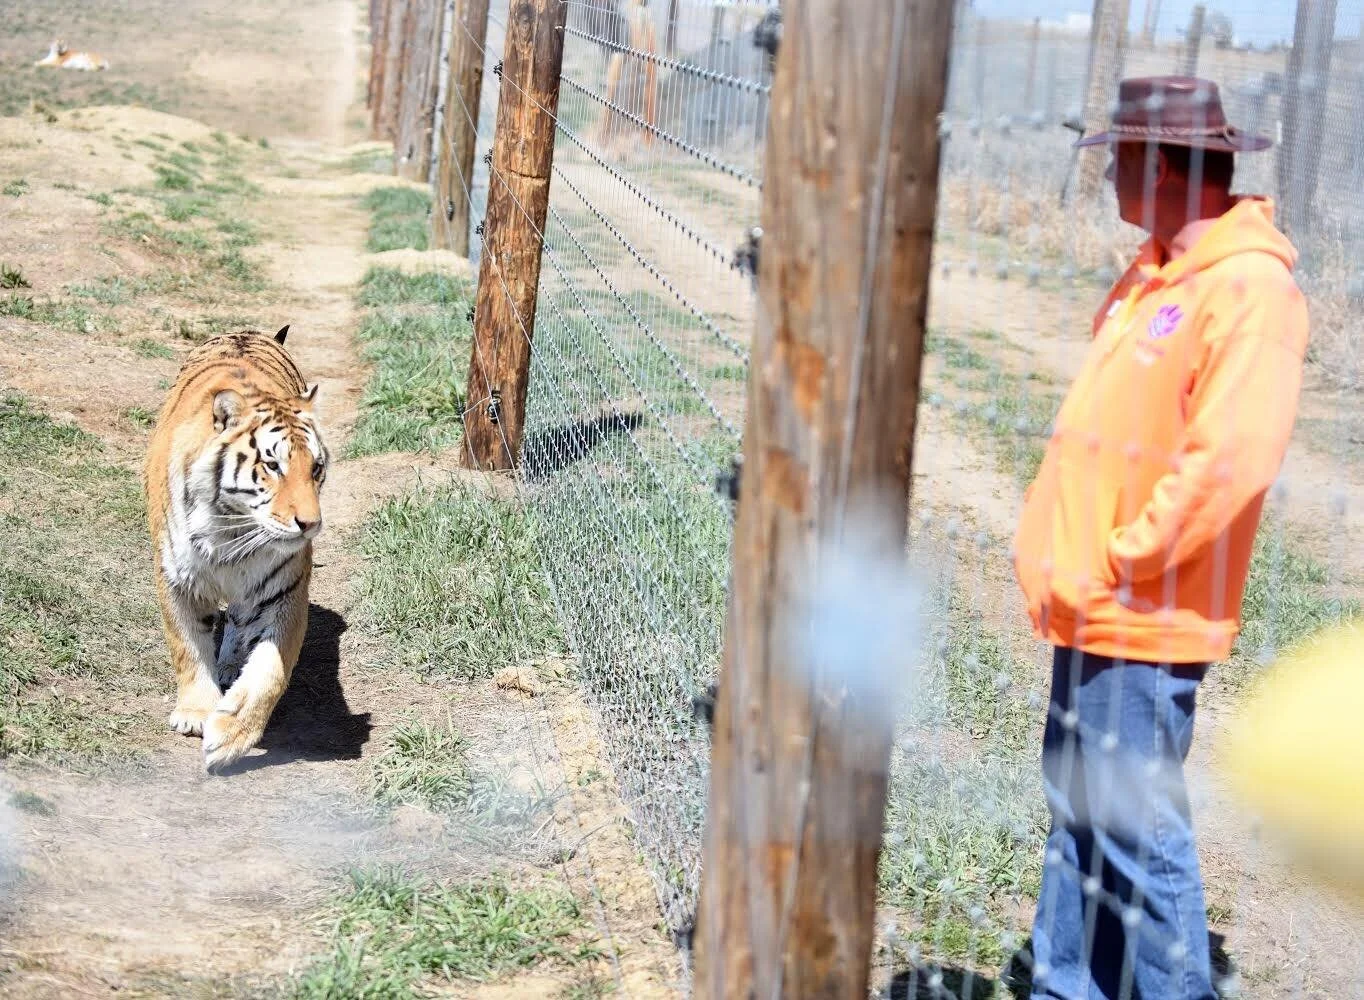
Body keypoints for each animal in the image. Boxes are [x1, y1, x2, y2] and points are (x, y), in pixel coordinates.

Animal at [143, 326, 329, 773]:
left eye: (315, 468)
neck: (232, 529)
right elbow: (187, 646)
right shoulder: (176, 579)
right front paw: (195, 713)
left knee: (240, 623)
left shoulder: (284, 590)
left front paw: (230, 734)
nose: (310, 524)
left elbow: (271, 669)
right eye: (273, 466)